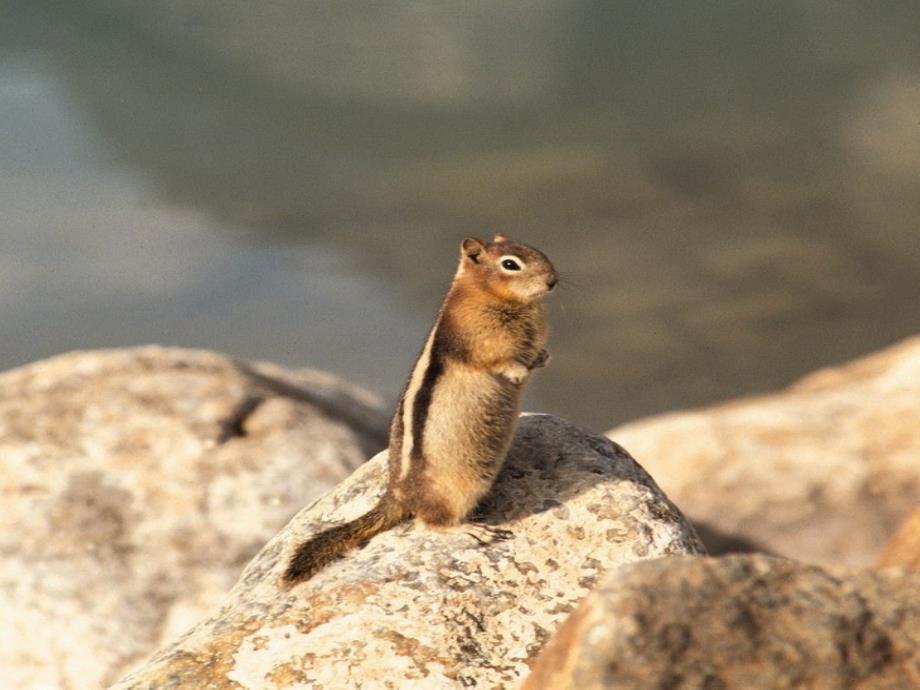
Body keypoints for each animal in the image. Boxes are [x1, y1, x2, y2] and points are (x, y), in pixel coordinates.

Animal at [280, 234, 556, 584]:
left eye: (536, 251)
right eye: (510, 264)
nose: (552, 281)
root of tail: (398, 494)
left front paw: (543, 358)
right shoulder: (477, 341)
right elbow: (494, 361)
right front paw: (517, 371)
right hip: (456, 491)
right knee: (430, 523)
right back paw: (471, 531)